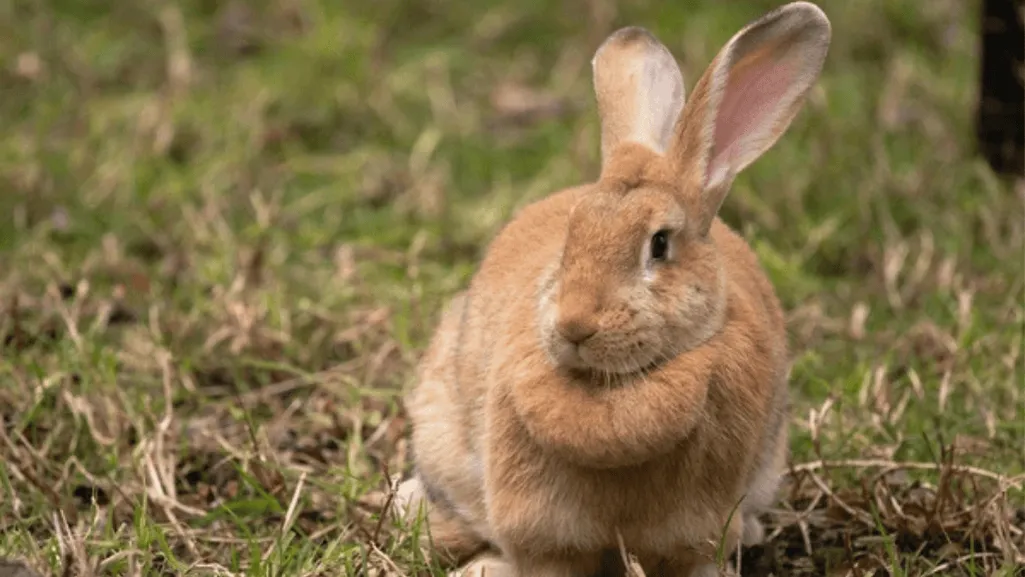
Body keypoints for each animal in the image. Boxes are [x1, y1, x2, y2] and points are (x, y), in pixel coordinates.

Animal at [399, 2, 831, 576]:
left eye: (660, 244)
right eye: (572, 232)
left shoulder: (696, 531)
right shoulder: (544, 533)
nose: (575, 323)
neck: (615, 391)